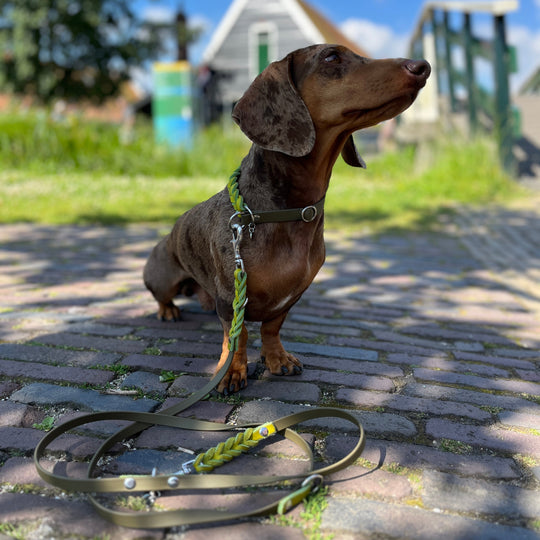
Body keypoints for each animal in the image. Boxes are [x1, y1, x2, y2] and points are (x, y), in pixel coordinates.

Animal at [143, 44, 430, 394]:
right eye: (331, 57)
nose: (423, 66)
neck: (287, 210)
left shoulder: (292, 295)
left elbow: (271, 327)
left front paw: (277, 359)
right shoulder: (231, 296)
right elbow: (237, 335)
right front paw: (230, 371)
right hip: (161, 278)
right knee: (163, 297)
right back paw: (169, 310)